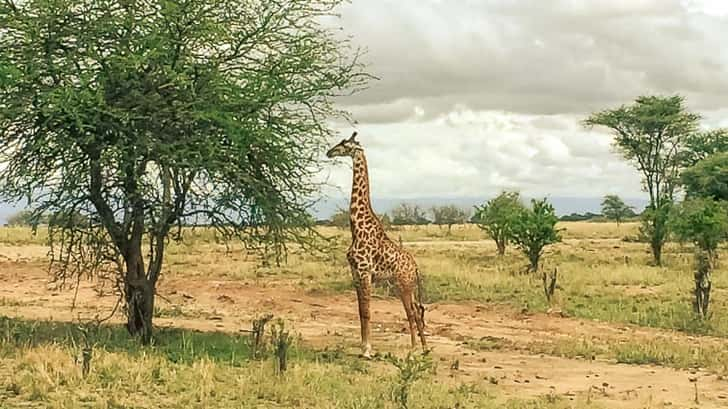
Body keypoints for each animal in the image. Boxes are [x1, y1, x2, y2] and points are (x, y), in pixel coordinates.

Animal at [326, 131, 426, 356]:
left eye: (344, 144)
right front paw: (363, 347)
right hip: (404, 285)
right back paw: (424, 348)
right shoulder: (355, 273)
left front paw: (367, 350)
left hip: (404, 284)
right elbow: (360, 311)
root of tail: (415, 267)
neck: (356, 227)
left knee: (412, 312)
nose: (329, 152)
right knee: (417, 310)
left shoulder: (364, 272)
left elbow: (367, 311)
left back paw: (414, 348)